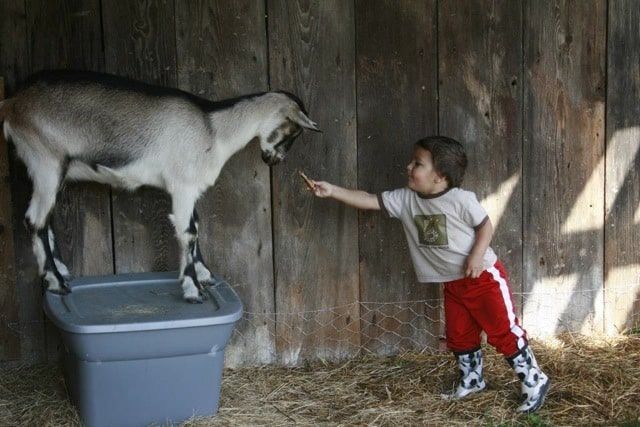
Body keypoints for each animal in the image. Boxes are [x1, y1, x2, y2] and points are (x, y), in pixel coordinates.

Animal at [0, 70, 319, 303]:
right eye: (293, 130)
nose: (273, 160)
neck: (214, 128)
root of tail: (12, 103)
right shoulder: (183, 185)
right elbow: (188, 232)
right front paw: (193, 289)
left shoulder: (191, 189)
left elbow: (196, 225)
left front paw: (204, 274)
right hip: (46, 161)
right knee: (34, 220)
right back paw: (55, 281)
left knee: (45, 218)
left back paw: (62, 272)